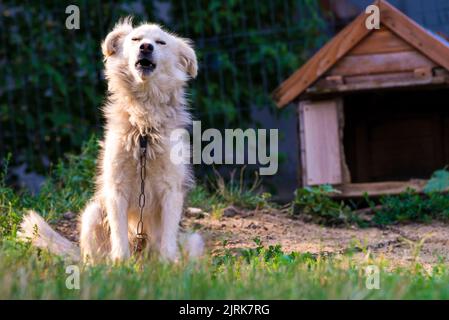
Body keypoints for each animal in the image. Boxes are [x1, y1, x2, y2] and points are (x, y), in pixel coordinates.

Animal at [18, 16, 203, 262]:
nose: (146, 47)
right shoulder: (116, 189)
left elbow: (167, 239)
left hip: (193, 240)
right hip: (92, 214)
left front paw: (166, 265)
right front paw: (121, 264)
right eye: (136, 39)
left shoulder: (171, 190)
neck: (143, 129)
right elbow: (119, 235)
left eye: (161, 42)